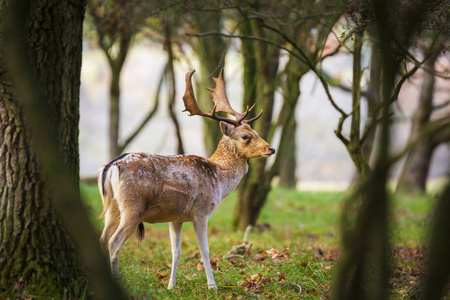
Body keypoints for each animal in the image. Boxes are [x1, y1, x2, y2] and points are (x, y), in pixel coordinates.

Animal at [97, 69, 274, 290]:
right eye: (245, 136)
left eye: (255, 132)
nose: (271, 148)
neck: (219, 177)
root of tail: (111, 167)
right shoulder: (201, 211)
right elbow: (204, 250)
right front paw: (212, 286)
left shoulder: (176, 217)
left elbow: (176, 251)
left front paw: (171, 286)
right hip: (133, 207)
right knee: (113, 242)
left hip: (112, 207)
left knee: (102, 239)